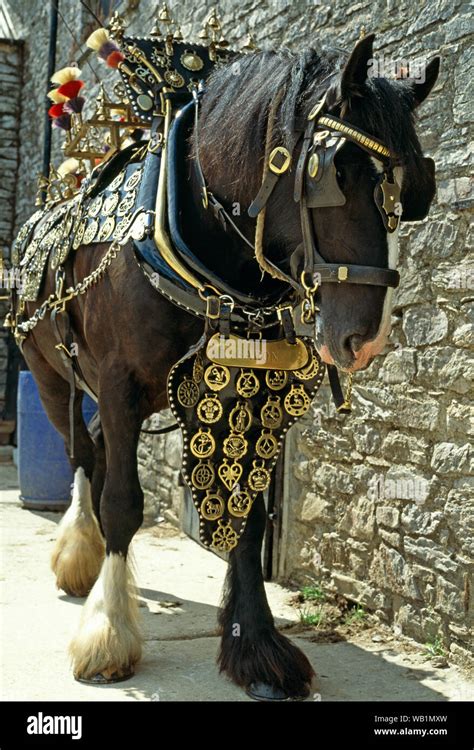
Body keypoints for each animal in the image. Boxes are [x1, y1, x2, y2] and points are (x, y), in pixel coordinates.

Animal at [14, 32, 438, 704]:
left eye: (419, 190)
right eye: (336, 173)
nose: (367, 339)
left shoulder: (242, 387)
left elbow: (249, 518)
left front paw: (256, 646)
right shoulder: (116, 380)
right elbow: (124, 502)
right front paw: (107, 634)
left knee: (101, 446)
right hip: (56, 377)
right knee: (82, 456)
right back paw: (82, 557)